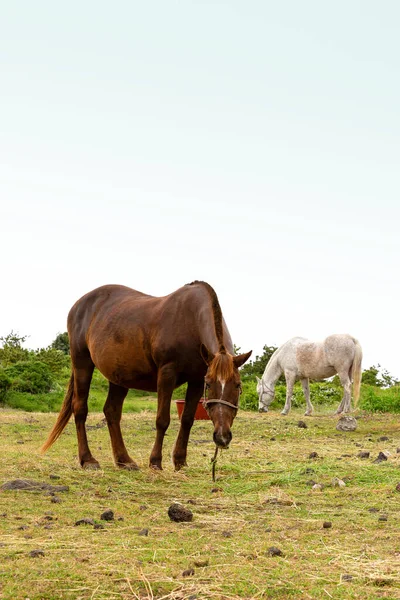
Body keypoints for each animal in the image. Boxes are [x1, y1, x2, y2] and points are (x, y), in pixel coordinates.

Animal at [42, 284, 252, 472]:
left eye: (238, 385)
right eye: (210, 385)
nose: (222, 437)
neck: (190, 322)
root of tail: (79, 305)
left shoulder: (195, 380)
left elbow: (187, 420)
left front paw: (180, 461)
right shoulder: (167, 374)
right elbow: (162, 420)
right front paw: (155, 462)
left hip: (119, 377)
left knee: (111, 411)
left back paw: (124, 460)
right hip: (82, 363)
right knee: (80, 408)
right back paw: (88, 460)